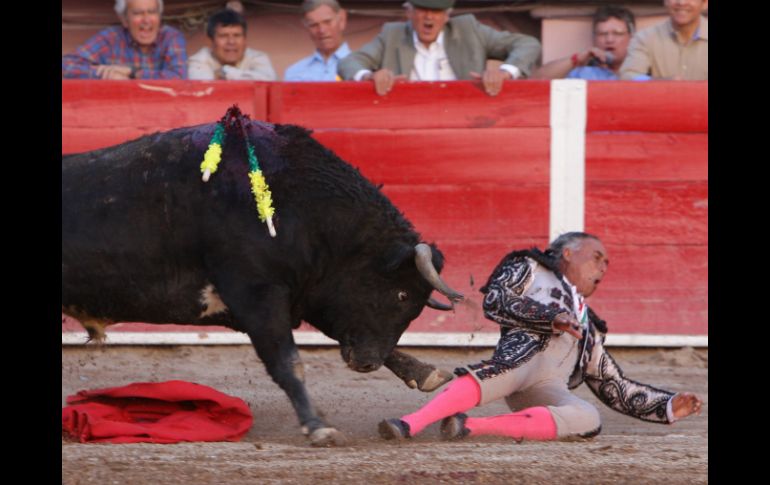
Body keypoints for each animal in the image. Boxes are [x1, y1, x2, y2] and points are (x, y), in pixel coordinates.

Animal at [61, 112, 462, 442]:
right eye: (401, 296)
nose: (366, 364)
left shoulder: (307, 292)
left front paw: (424, 371)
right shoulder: (256, 293)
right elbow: (287, 361)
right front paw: (318, 427)